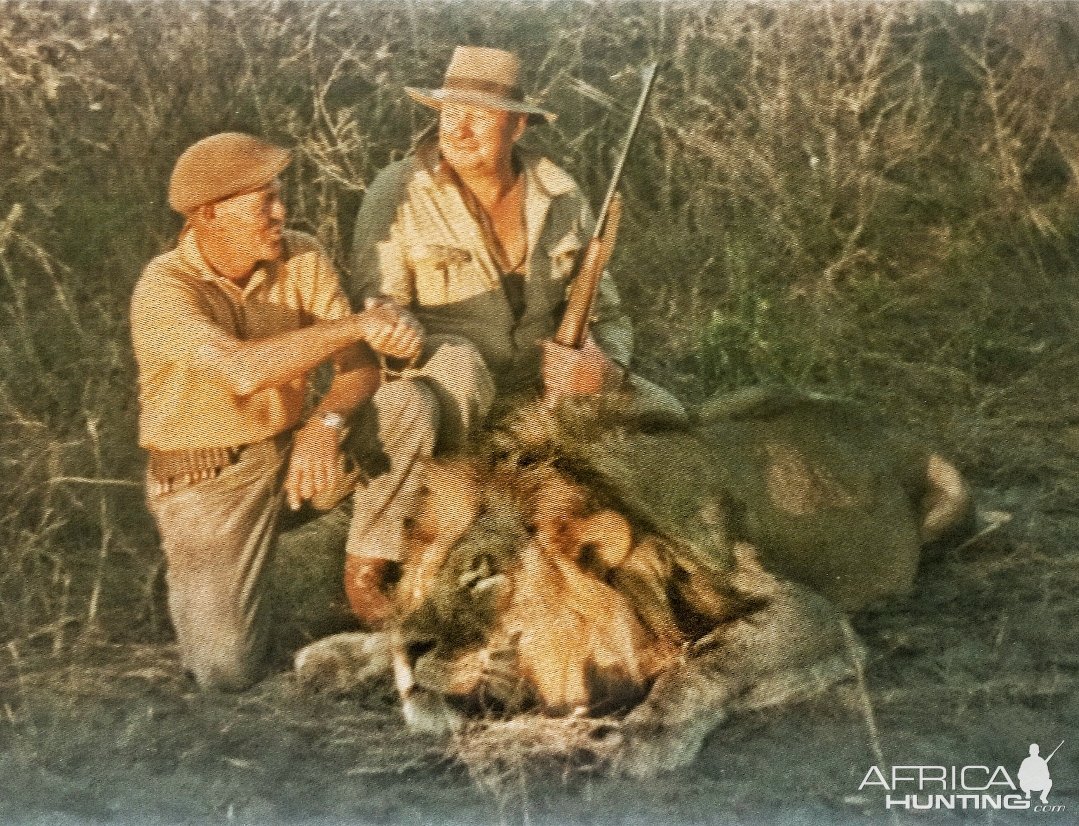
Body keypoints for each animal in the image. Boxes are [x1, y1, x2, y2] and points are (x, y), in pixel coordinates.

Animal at [291, 388, 975, 776]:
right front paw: (345, 652)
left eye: (484, 576)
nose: (411, 652)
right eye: (425, 574)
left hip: (950, 500)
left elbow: (705, 662)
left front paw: (646, 737)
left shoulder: (811, 612)